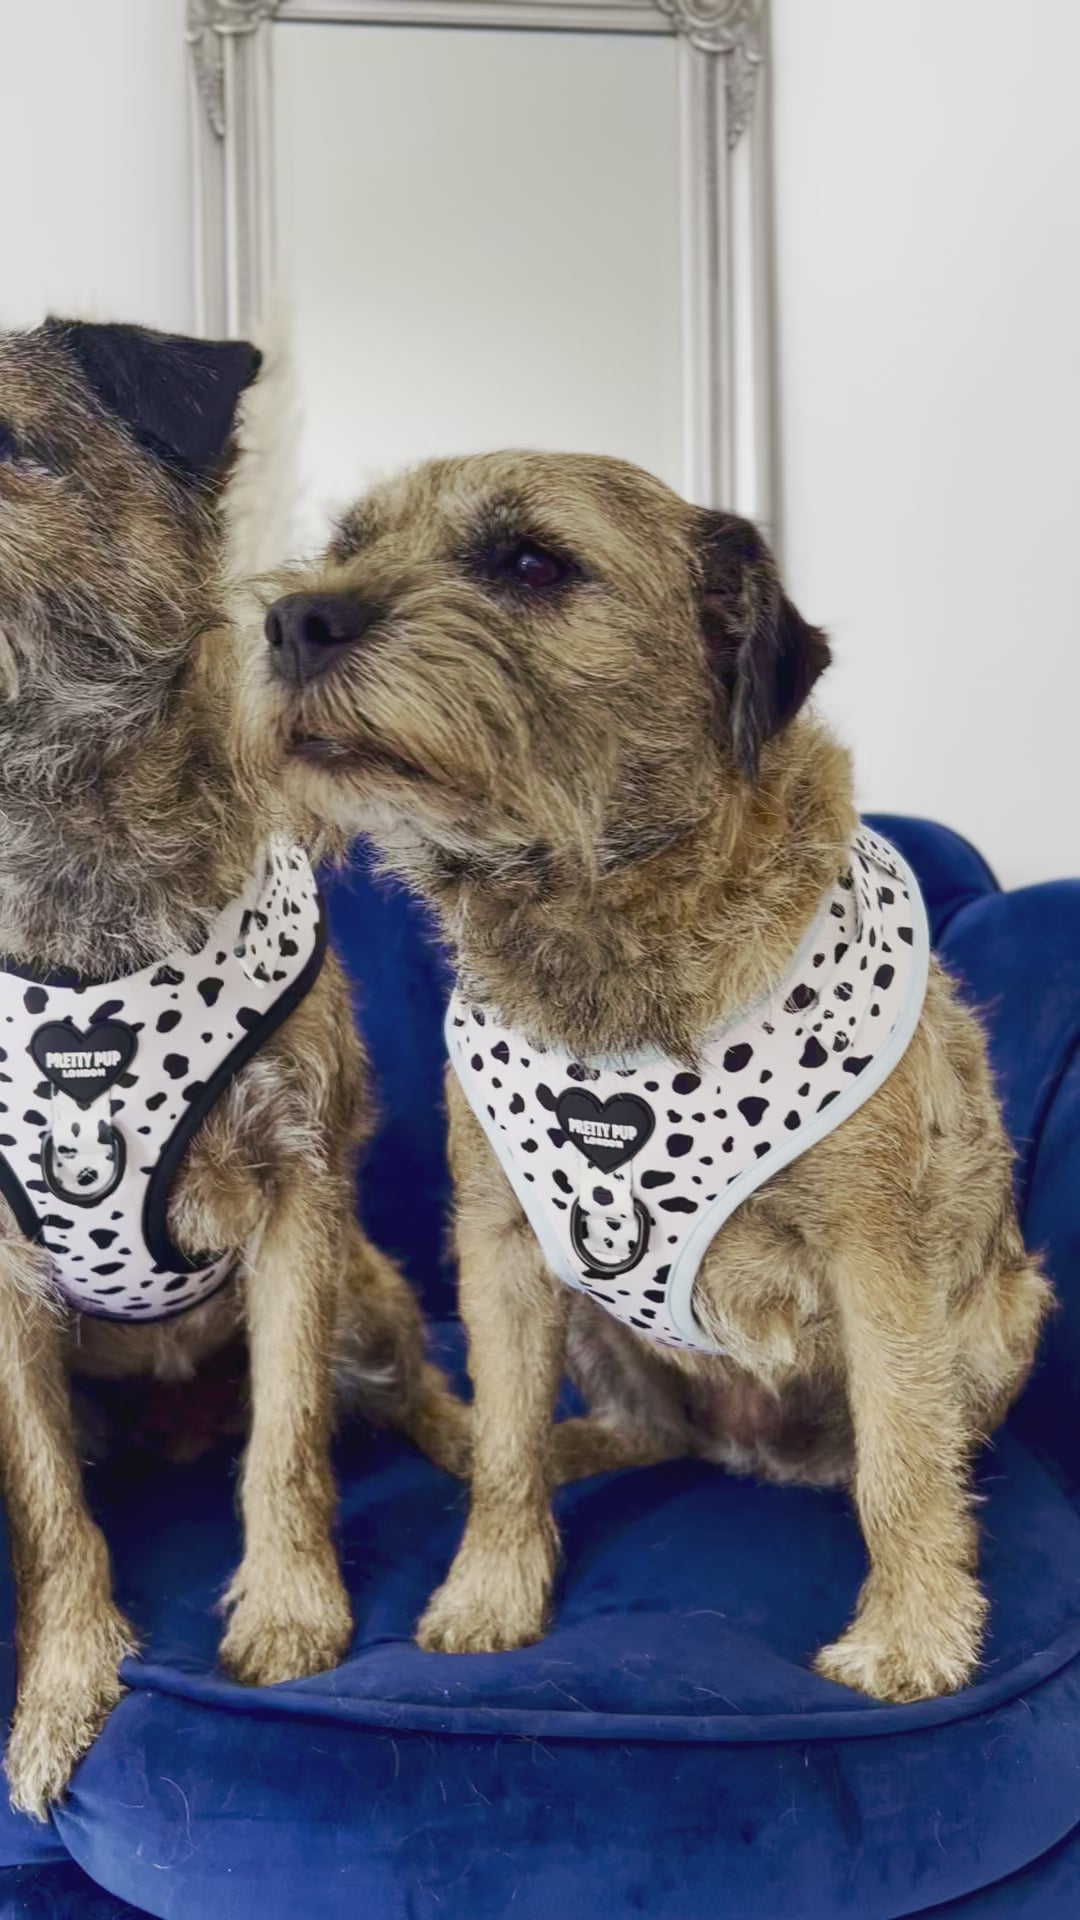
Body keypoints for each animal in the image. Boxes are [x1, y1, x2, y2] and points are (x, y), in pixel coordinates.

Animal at [0, 330, 466, 1812]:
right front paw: (63, 1690)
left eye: (9, 446)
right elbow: (48, 1512)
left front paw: (292, 1611)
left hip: (371, 1295)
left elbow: (290, 1441)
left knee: (408, 1393)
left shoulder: (295, 1208)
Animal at [255, 453, 1045, 1712]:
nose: (292, 621)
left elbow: (904, 1465)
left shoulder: (882, 1261)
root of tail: (753, 1445)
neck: (596, 917)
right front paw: (491, 1591)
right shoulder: (504, 1247)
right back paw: (550, 1444)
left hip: (1006, 1308)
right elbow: (510, 1446)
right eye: (345, 547)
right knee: (629, 1431)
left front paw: (914, 1634)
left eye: (533, 563)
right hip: (593, 1313)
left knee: (917, 1448)